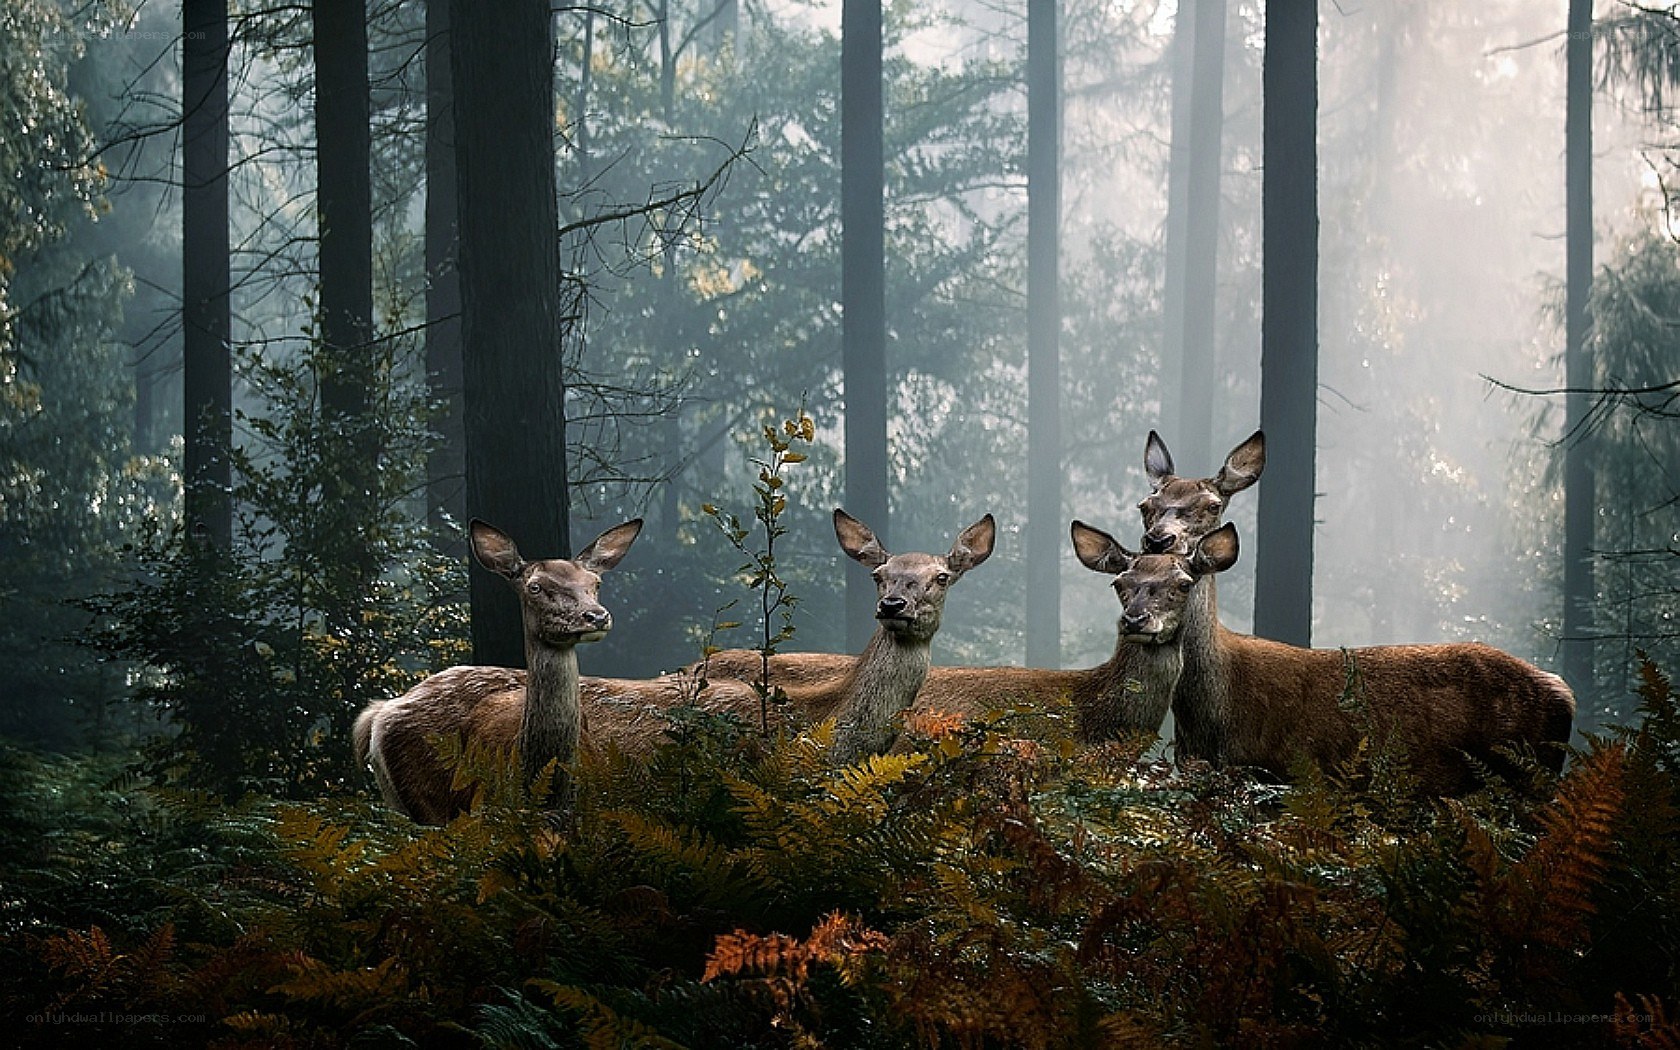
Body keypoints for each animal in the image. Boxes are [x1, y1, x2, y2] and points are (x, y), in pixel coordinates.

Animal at [1087, 520, 1576, 793]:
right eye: (1120, 584)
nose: (1135, 619)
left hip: (1529, 781)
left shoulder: (1277, 773)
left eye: (1184, 582)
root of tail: (1564, 692)